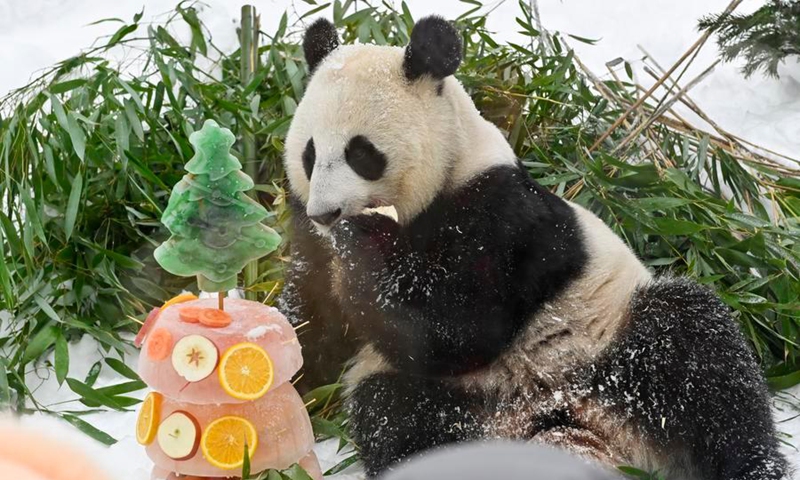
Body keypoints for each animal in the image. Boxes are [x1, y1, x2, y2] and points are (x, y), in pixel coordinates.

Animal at [278, 16, 787, 480]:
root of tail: (577, 425)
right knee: (399, 418)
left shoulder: (500, 212)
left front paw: (364, 240)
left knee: (700, 355)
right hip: (455, 399)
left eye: (361, 153)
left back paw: (755, 466)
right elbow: (312, 320)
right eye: (309, 153)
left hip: (612, 341)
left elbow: (461, 325)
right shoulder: (310, 240)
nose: (327, 214)